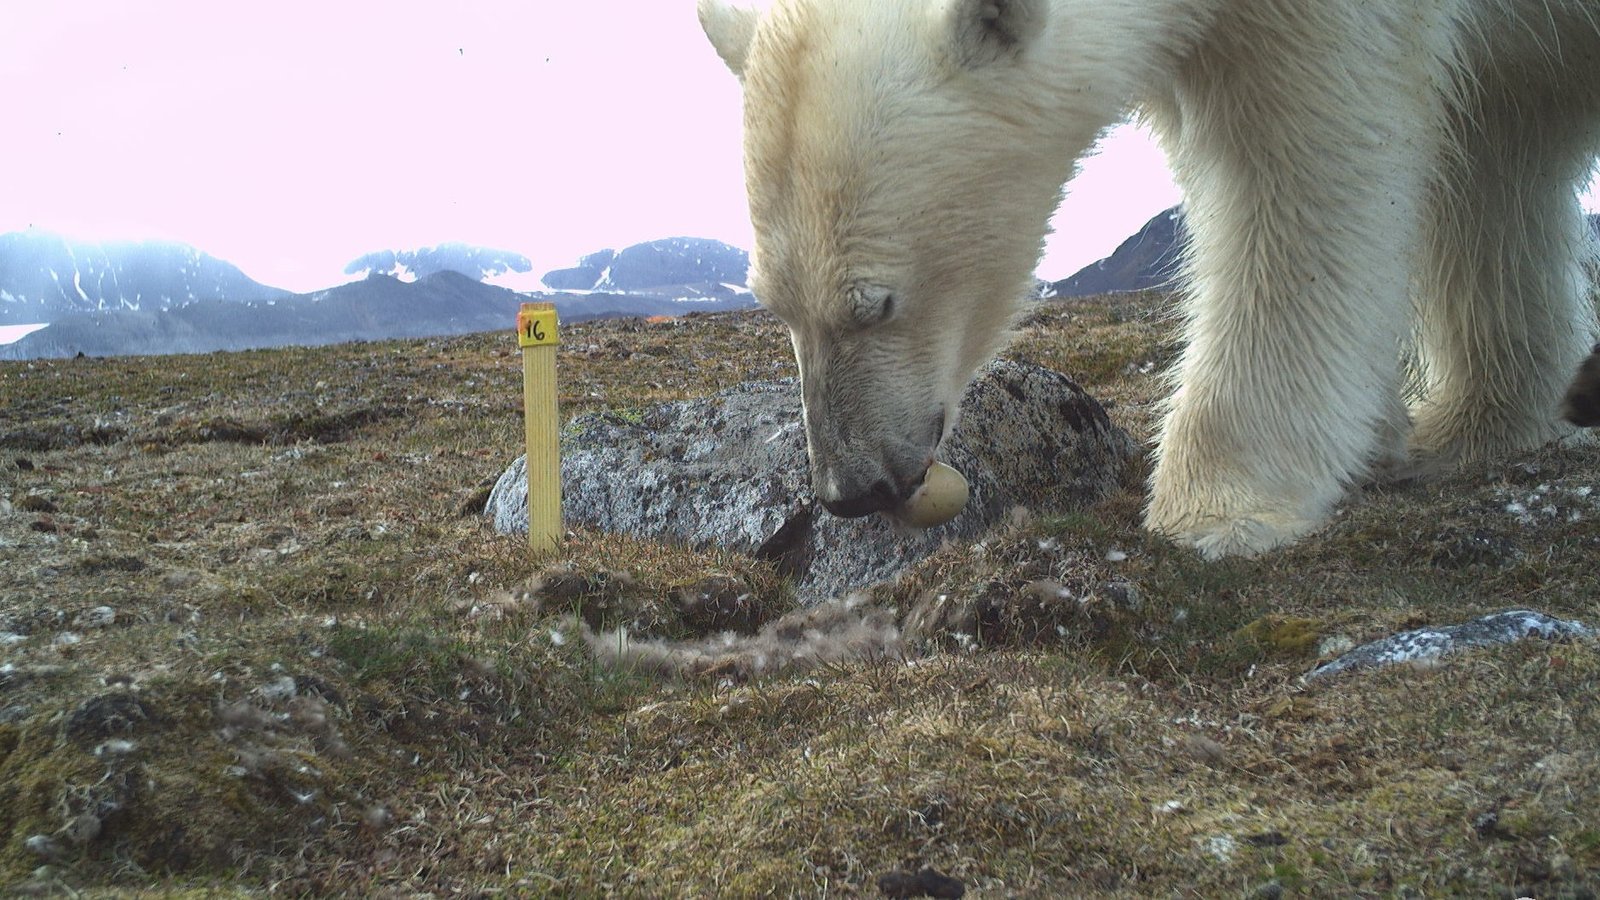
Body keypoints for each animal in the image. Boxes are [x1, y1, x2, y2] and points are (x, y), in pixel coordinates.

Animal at [697, 0, 1600, 558]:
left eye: (876, 305)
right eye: (774, 305)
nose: (850, 488)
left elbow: (1309, 163)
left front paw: (1218, 506)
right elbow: (1489, 136)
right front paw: (1415, 432)